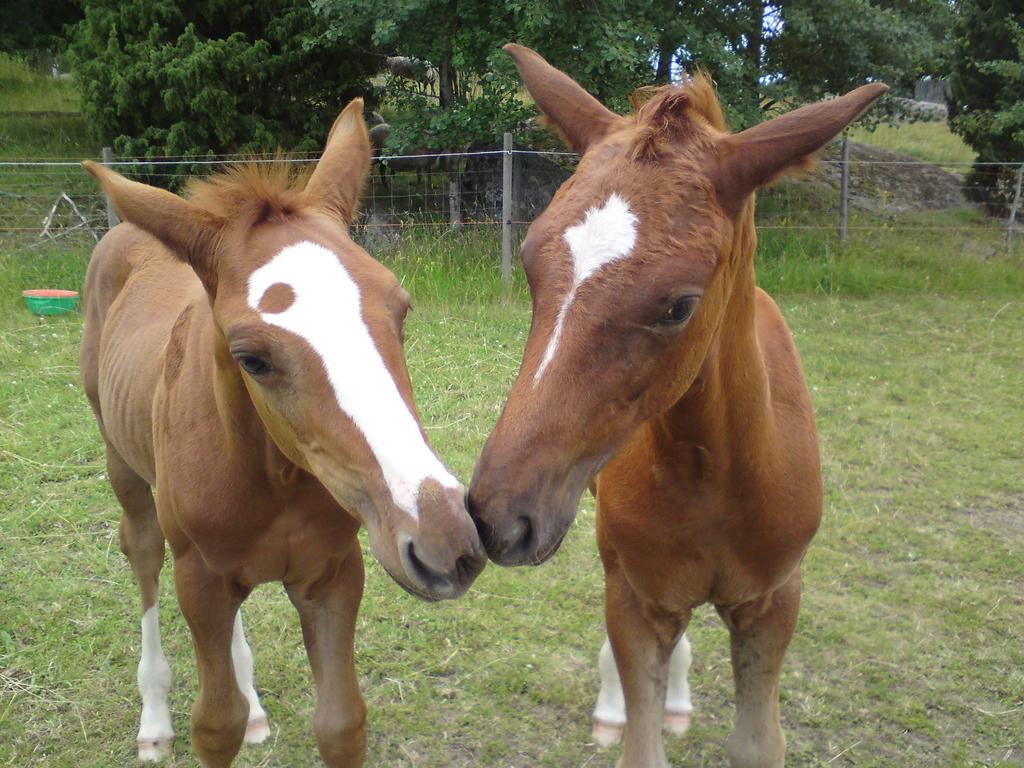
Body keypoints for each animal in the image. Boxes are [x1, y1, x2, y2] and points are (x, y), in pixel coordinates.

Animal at [77, 99, 485, 765]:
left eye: (401, 310)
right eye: (252, 359)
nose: (446, 543)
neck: (277, 479)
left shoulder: (335, 574)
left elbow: (341, 723)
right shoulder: (200, 580)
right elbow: (215, 725)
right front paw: (203, 719)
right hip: (125, 471)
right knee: (141, 552)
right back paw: (154, 720)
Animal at [468, 45, 884, 765]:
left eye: (679, 306)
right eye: (528, 264)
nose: (499, 517)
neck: (717, 474)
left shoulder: (775, 600)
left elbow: (757, 742)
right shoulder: (640, 593)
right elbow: (642, 736)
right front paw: (629, 710)